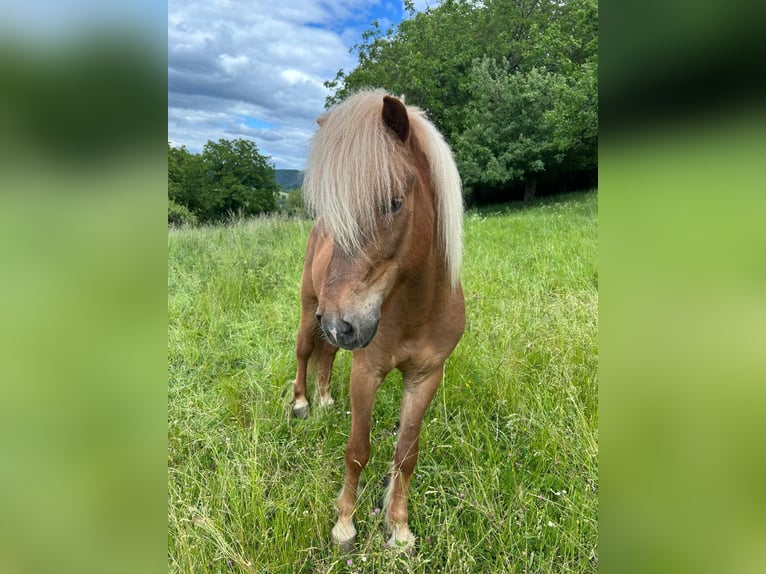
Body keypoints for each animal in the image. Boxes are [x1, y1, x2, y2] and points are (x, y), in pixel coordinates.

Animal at [291, 90, 465, 553]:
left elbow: (406, 454)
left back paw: (325, 399)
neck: (417, 309)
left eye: (393, 203)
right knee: (305, 352)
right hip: (309, 310)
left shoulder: (425, 376)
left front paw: (399, 529)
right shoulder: (366, 371)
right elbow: (357, 449)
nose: (340, 322)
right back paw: (301, 403)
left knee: (327, 355)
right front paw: (344, 525)